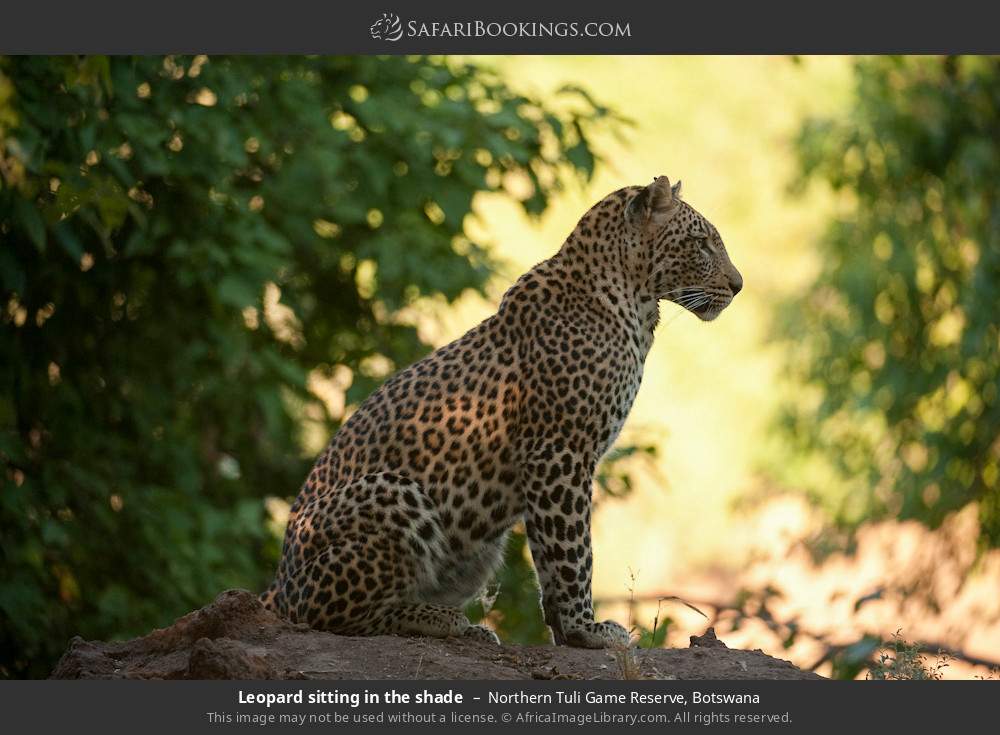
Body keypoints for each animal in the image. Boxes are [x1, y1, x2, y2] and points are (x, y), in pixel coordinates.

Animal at [260, 175, 743, 648]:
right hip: (395, 492)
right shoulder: (559, 451)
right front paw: (587, 629)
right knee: (331, 616)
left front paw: (566, 632)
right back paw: (442, 619)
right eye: (702, 243)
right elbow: (573, 550)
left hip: (480, 549)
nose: (738, 285)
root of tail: (278, 583)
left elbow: (550, 555)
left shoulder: (554, 463)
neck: (635, 303)